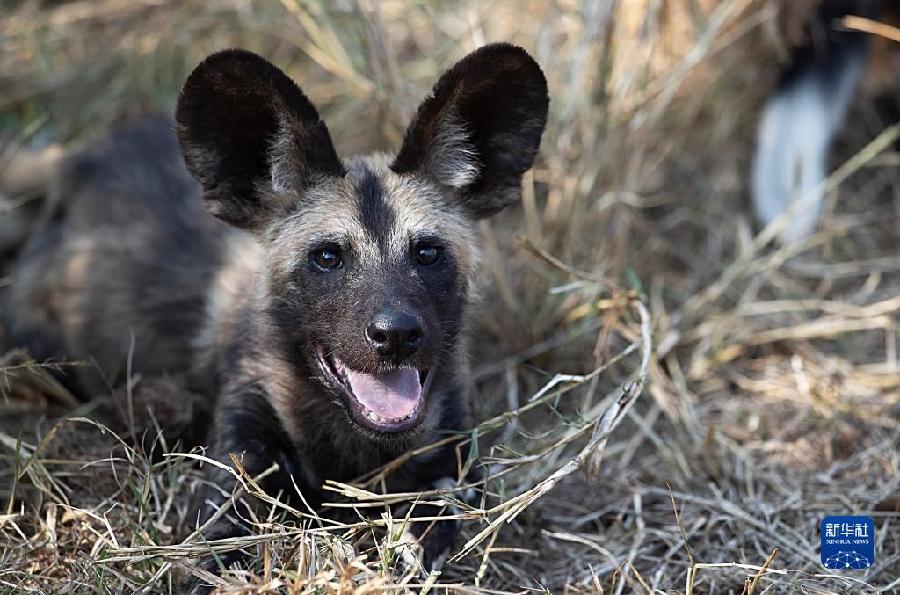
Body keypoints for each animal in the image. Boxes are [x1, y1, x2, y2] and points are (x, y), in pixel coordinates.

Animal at [1, 44, 548, 588]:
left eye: (428, 253)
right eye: (327, 257)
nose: (395, 334)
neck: (352, 453)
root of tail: (83, 160)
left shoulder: (446, 469)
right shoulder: (241, 463)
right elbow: (222, 555)